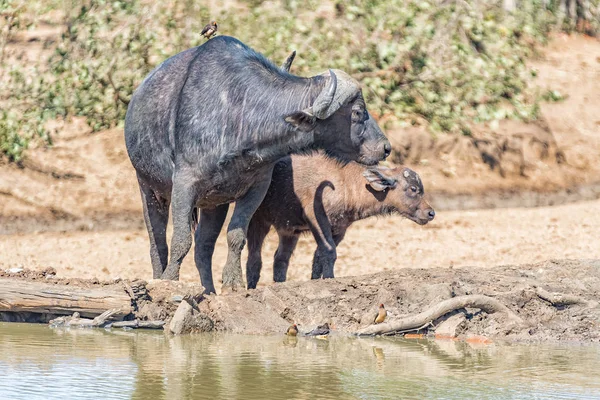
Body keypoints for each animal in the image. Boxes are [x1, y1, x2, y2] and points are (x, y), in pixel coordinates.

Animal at [124, 36, 392, 294]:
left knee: (204, 245)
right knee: (158, 242)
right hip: (148, 187)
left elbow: (236, 237)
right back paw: (160, 276)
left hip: (214, 204)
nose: (386, 147)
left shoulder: (256, 188)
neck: (239, 114)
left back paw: (208, 290)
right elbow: (180, 240)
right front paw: (170, 280)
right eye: (357, 112)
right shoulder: (184, 184)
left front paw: (233, 283)